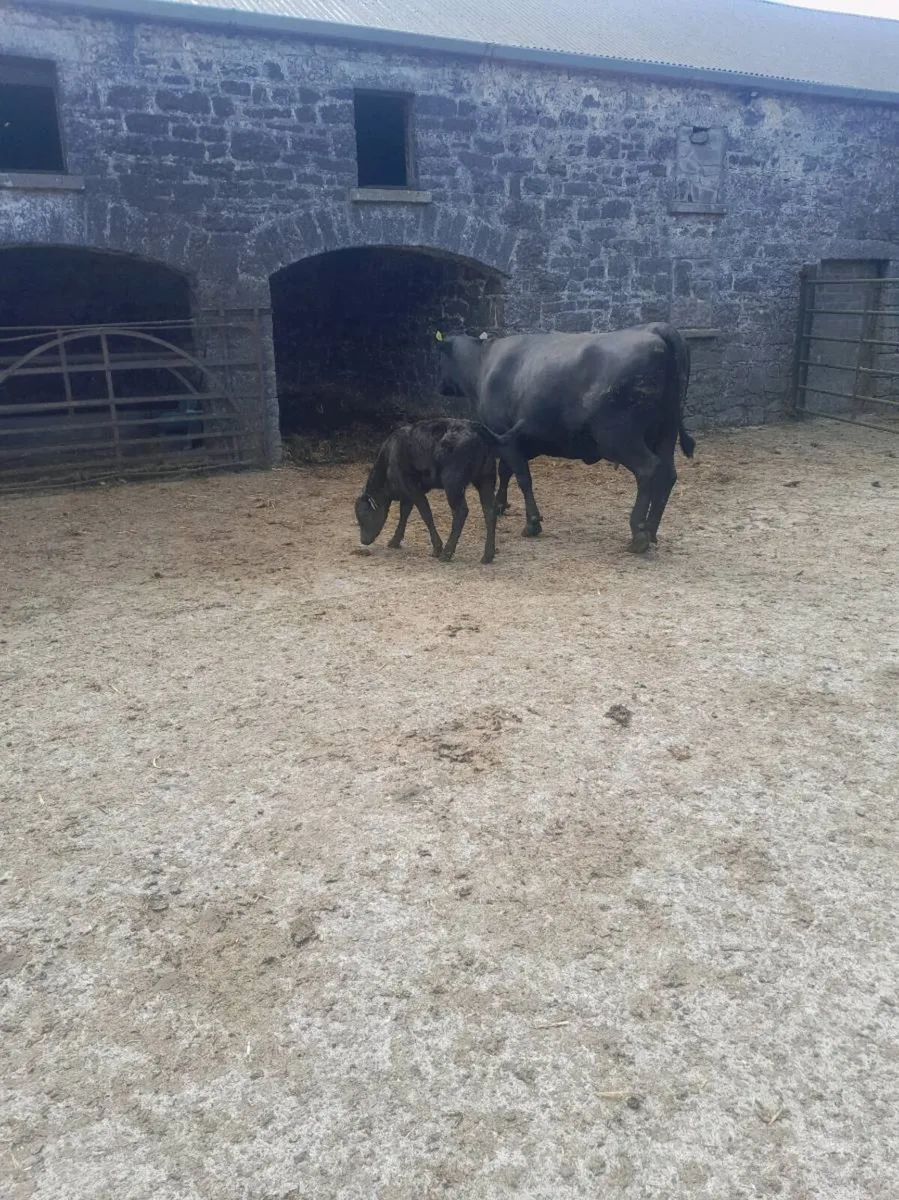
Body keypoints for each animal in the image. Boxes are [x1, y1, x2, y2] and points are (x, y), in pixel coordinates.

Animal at [355, 418, 512, 564]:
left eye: (363, 516)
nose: (363, 540)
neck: (390, 454)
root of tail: (474, 426)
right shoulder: (407, 492)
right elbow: (405, 513)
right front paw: (395, 540)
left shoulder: (412, 487)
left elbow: (426, 513)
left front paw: (437, 547)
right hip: (486, 479)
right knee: (489, 511)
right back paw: (487, 555)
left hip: (453, 484)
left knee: (461, 512)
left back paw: (446, 553)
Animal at [435, 323, 695, 553]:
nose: (439, 386)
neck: (483, 364)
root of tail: (658, 331)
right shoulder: (514, 440)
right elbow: (506, 471)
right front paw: (500, 504)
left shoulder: (506, 437)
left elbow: (523, 478)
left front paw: (532, 523)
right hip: (665, 434)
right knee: (667, 474)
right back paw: (651, 531)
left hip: (619, 436)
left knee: (647, 469)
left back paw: (638, 534)